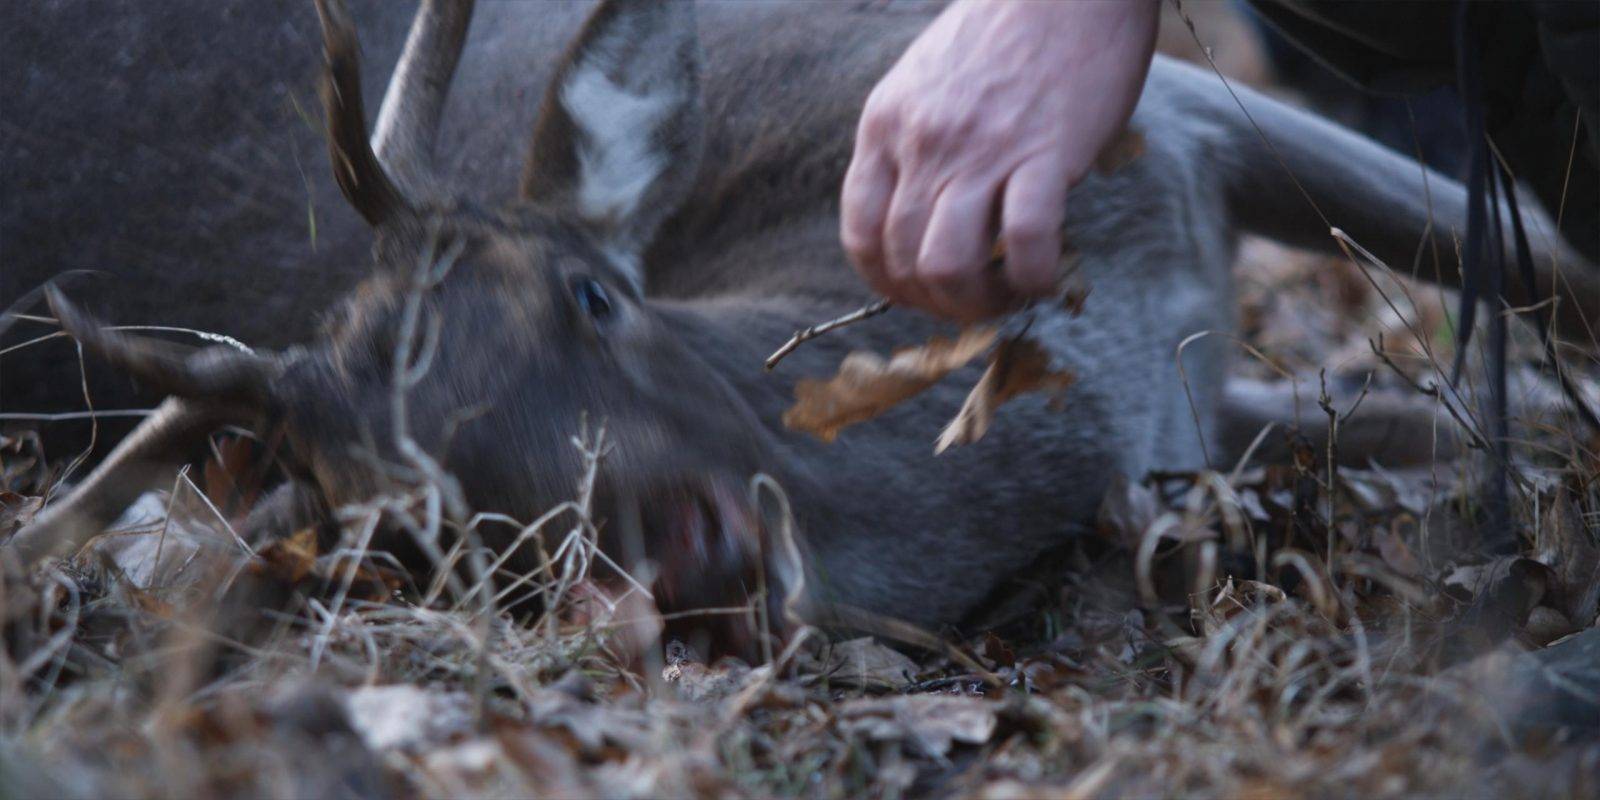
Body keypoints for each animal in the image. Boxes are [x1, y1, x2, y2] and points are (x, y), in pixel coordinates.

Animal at [6, 0, 1593, 649]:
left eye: (595, 294)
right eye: (404, 517)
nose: (690, 554)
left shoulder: (1181, 117)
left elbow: (1545, 258)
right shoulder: (1190, 393)